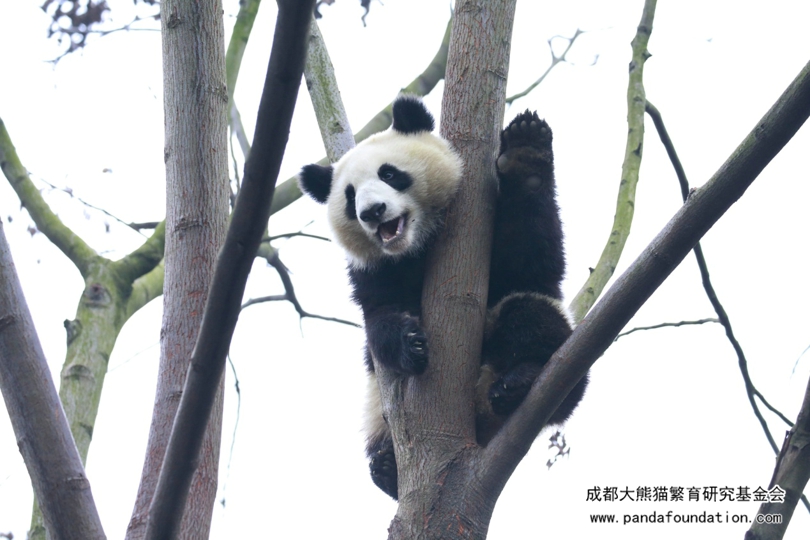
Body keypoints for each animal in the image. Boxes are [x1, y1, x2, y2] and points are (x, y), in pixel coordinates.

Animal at [298, 95, 587, 500]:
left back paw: (521, 379)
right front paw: (411, 343)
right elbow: (380, 319)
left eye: (390, 174)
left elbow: (531, 257)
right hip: (375, 407)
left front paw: (525, 153)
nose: (372, 212)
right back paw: (387, 468)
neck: (415, 245)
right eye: (349, 196)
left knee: (531, 319)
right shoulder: (373, 271)